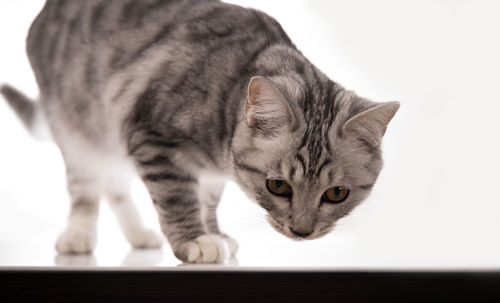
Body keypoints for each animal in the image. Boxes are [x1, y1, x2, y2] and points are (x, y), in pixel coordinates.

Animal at [0, 0, 398, 264]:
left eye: (336, 193)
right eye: (278, 186)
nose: (302, 231)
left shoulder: (208, 172)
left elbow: (207, 201)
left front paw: (214, 232)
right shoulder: (152, 139)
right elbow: (177, 197)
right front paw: (196, 241)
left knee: (114, 185)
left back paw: (139, 234)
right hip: (78, 131)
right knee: (86, 188)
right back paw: (78, 235)